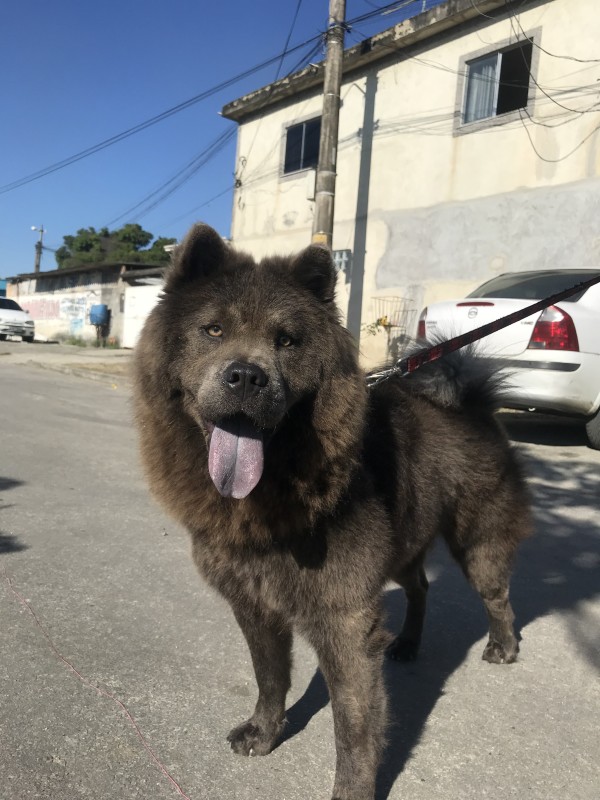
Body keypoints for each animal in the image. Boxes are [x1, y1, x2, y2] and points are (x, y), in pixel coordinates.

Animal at [134, 223, 532, 800]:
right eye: (212, 330)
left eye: (286, 341)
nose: (246, 376)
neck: (276, 493)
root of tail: (475, 407)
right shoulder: (253, 604)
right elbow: (271, 677)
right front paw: (264, 732)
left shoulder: (344, 619)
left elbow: (354, 728)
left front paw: (352, 789)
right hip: (406, 543)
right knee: (421, 588)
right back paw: (408, 643)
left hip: (476, 542)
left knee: (497, 596)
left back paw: (502, 646)